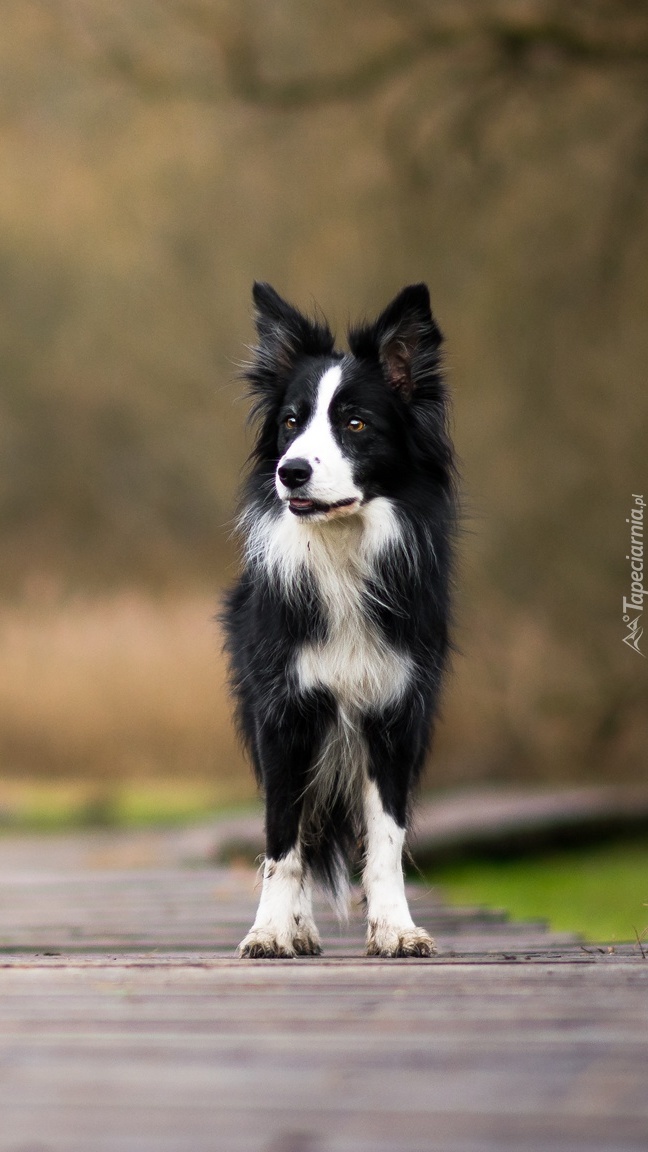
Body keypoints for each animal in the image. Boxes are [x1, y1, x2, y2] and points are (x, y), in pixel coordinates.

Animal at [221, 283, 454, 958]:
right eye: (291, 422)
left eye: (355, 423)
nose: (290, 471)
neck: (341, 549)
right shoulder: (284, 713)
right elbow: (282, 841)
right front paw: (270, 931)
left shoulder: (396, 714)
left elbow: (387, 840)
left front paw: (396, 929)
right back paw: (296, 928)